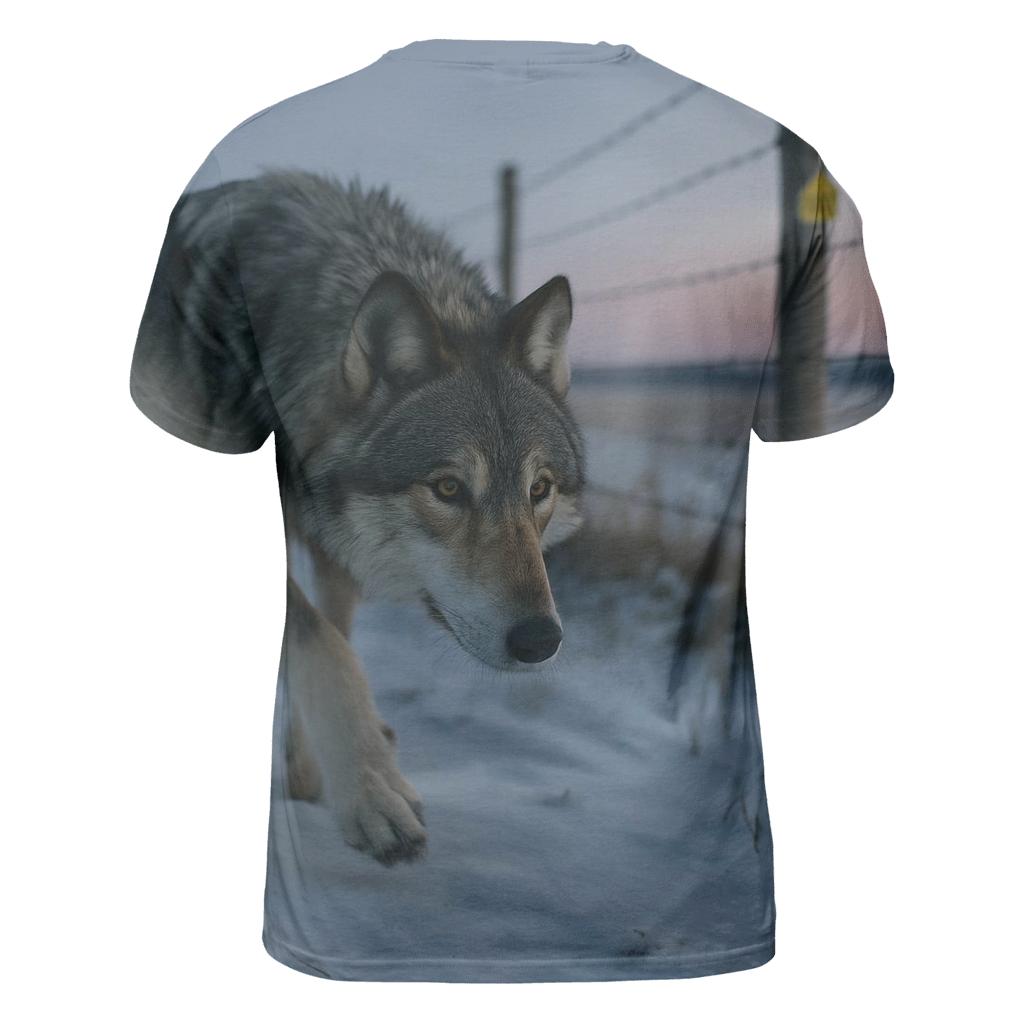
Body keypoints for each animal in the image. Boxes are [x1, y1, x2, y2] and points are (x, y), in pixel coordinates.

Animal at [149, 171, 586, 865]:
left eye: (538, 489)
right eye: (448, 487)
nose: (540, 641)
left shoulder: (335, 549)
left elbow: (336, 635)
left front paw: (312, 771)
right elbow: (321, 645)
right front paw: (370, 787)